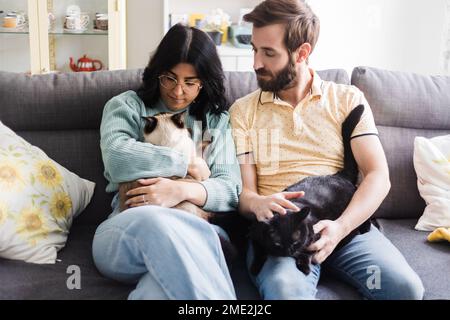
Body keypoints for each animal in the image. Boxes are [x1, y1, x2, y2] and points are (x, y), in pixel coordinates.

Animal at [248, 104, 370, 276]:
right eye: (278, 244)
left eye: (295, 241)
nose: (289, 252)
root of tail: (340, 174)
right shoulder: (255, 234)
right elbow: (258, 251)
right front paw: (255, 268)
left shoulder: (316, 234)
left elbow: (308, 250)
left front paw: (304, 266)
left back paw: (366, 228)